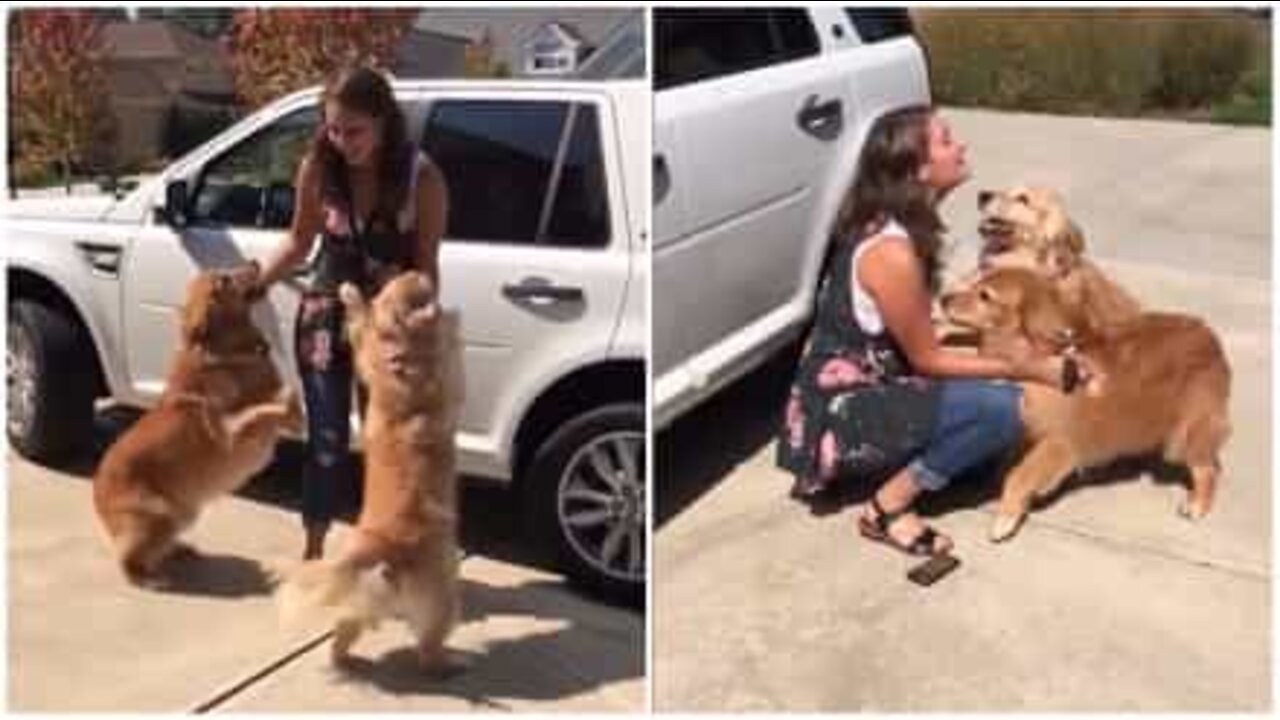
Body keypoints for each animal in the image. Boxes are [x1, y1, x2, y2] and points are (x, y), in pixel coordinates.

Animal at [277, 271, 468, 671]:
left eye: (394, 283)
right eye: (413, 288)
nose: (417, 272)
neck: (402, 366)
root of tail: (384, 544)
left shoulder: (371, 357)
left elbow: (365, 324)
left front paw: (354, 296)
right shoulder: (442, 369)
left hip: (366, 598)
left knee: (345, 629)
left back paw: (340, 659)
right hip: (443, 598)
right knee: (429, 649)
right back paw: (450, 664)